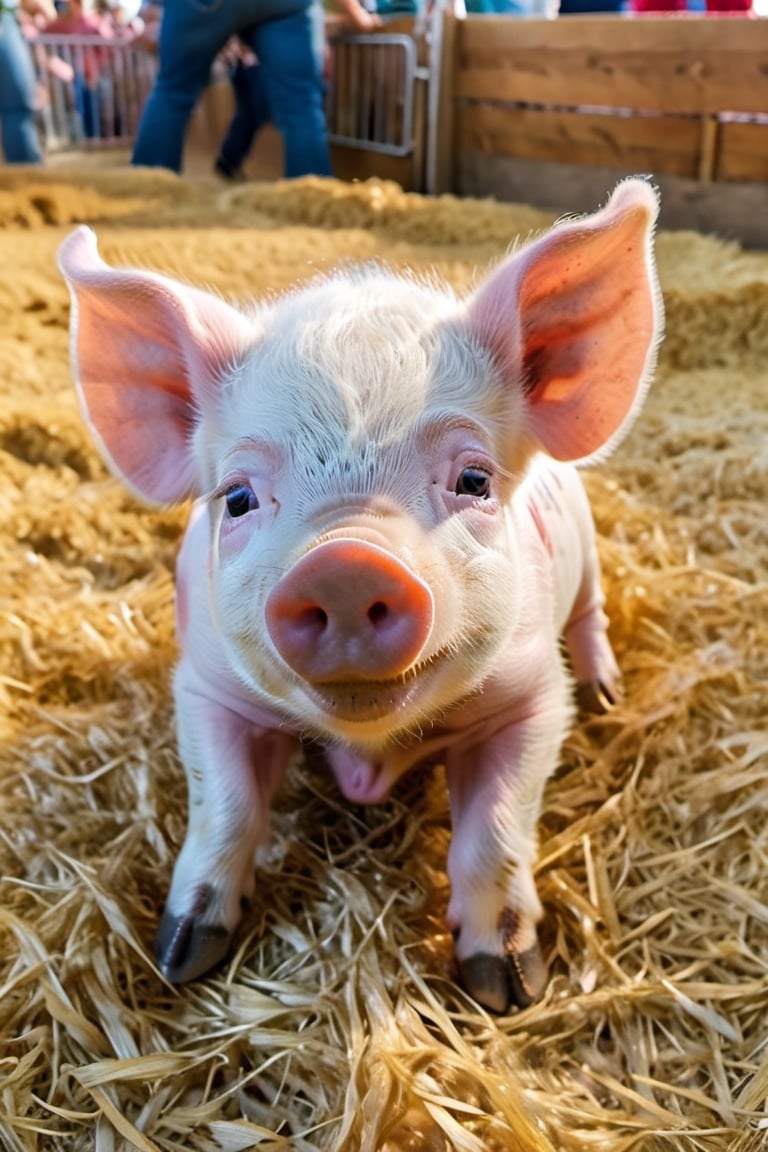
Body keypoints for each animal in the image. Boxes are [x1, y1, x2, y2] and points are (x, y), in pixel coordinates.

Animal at [58, 178, 661, 1014]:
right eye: (238, 497)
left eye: (474, 479)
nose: (345, 565)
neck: (368, 747)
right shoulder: (206, 687)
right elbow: (227, 808)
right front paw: (180, 956)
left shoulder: (533, 699)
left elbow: (495, 833)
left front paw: (507, 988)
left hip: (590, 560)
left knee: (592, 617)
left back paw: (606, 692)